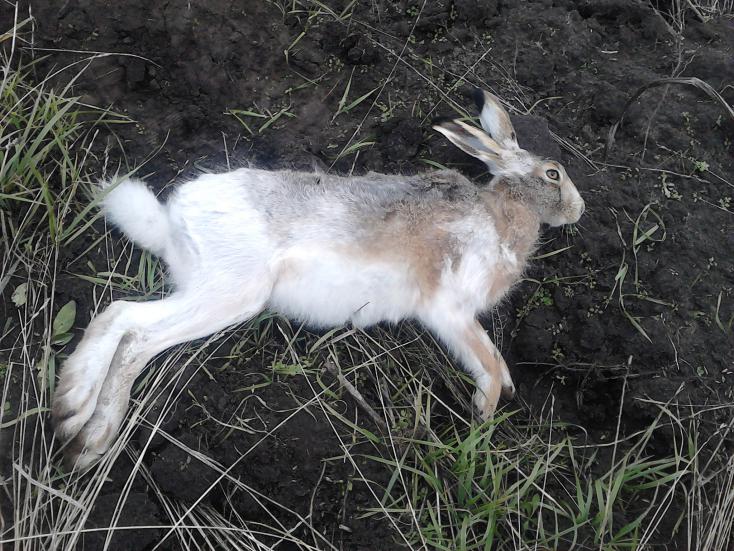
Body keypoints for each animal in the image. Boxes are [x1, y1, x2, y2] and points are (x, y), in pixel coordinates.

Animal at [52, 88, 585, 470]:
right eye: (553, 174)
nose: (579, 211)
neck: (503, 212)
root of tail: (170, 221)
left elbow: (495, 356)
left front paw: (507, 392)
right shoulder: (449, 310)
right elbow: (486, 361)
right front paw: (484, 413)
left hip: (211, 288)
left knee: (123, 325)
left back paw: (78, 419)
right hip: (233, 291)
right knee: (132, 328)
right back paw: (86, 428)